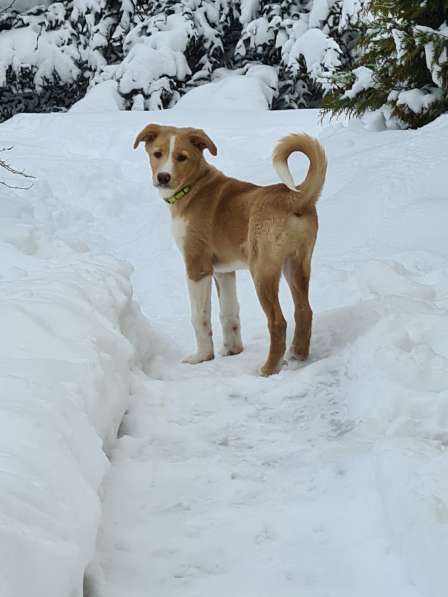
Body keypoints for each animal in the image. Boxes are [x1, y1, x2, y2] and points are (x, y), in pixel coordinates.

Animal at [133, 123, 326, 374]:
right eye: (157, 154)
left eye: (182, 157)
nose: (163, 177)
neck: (194, 188)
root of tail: (295, 198)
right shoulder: (224, 271)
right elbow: (229, 313)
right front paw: (232, 351)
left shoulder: (197, 267)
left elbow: (200, 317)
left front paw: (202, 357)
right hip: (296, 264)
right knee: (304, 310)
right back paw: (297, 355)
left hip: (262, 270)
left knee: (278, 321)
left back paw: (268, 368)